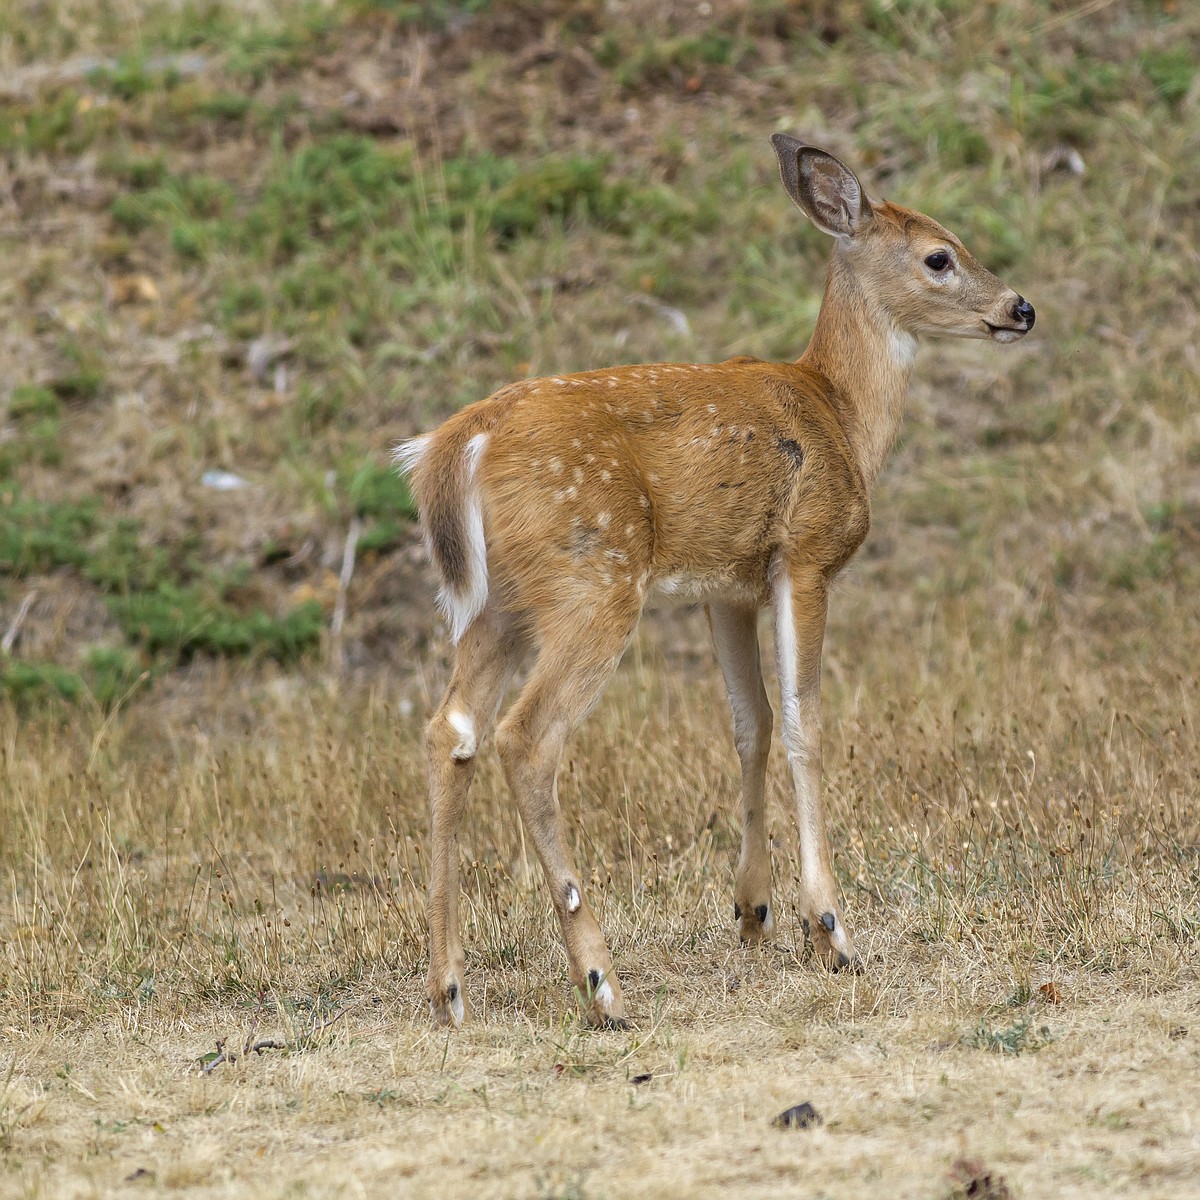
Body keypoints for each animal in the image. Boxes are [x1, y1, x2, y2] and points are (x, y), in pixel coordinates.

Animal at [395, 135, 1034, 1028]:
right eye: (939, 256)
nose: (1020, 308)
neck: (841, 413)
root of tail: (457, 446)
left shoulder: (725, 586)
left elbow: (750, 723)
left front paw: (753, 913)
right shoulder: (805, 553)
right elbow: (803, 723)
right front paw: (829, 931)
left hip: (502, 604)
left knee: (448, 730)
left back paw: (449, 987)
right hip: (594, 575)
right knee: (526, 736)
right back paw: (602, 985)